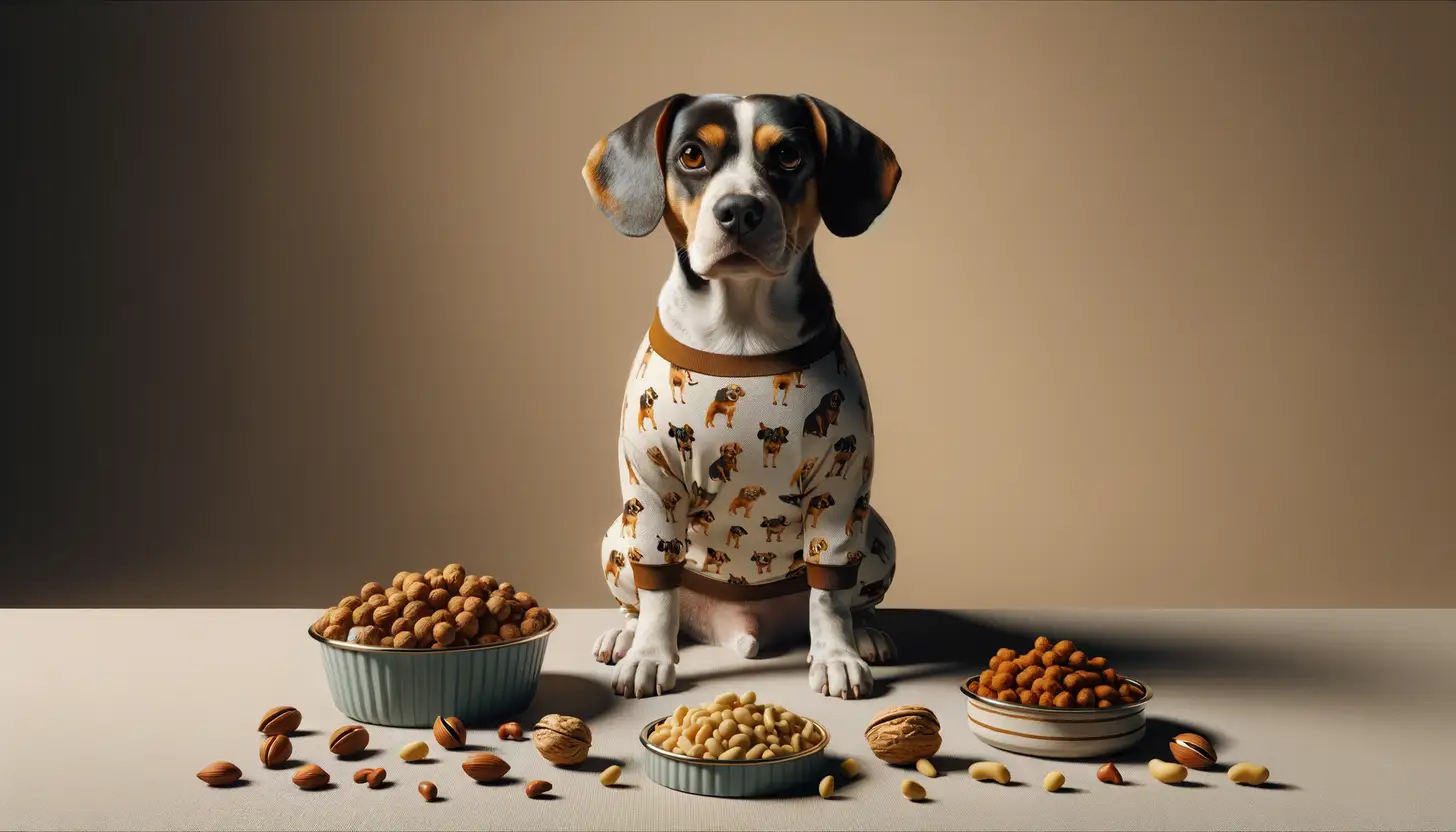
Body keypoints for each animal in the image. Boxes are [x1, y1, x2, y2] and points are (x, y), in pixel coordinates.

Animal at [591, 94, 896, 699]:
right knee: (645, 597)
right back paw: (626, 636)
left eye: (788, 155)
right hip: (617, 536)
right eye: (691, 155)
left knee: (853, 597)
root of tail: (738, 628)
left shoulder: (840, 490)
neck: (740, 327)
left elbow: (830, 595)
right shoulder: (653, 485)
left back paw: (866, 635)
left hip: (878, 533)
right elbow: (658, 592)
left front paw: (837, 657)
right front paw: (650, 657)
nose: (738, 210)